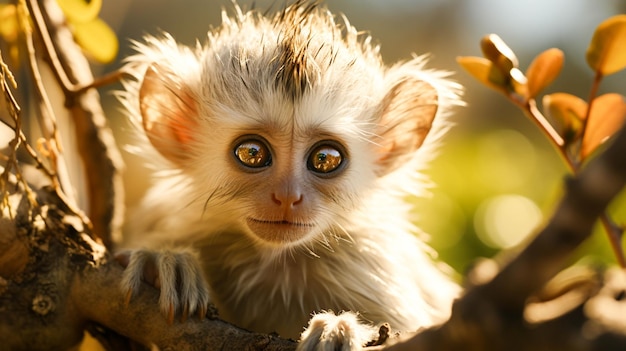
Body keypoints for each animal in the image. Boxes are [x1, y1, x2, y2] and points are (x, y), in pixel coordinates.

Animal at [116, 1, 458, 350]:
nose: (287, 196)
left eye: (325, 159)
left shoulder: (370, 261)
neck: (274, 260)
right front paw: (162, 265)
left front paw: (337, 329)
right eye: (252, 153)